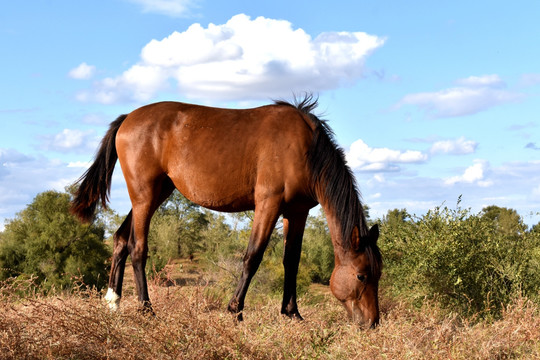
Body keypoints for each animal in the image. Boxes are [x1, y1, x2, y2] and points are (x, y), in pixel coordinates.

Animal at [71, 94, 382, 328]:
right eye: (361, 276)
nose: (373, 323)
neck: (306, 148)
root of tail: (128, 118)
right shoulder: (268, 203)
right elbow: (252, 257)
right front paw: (235, 310)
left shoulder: (297, 211)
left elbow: (291, 261)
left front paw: (292, 313)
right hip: (144, 196)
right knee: (137, 248)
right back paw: (146, 309)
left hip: (156, 193)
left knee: (121, 239)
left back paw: (113, 301)